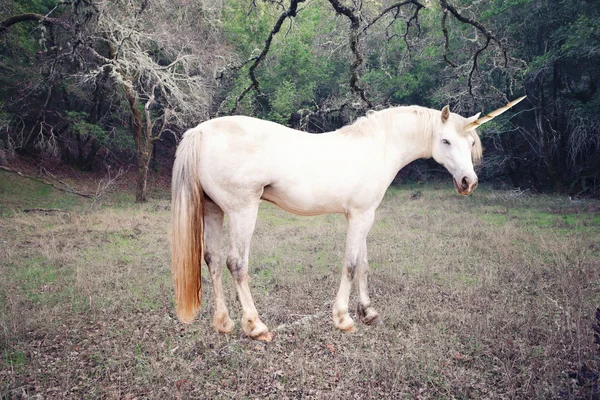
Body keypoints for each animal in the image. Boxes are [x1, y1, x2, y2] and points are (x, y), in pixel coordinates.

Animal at [172, 97, 524, 340]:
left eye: (470, 142)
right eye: (446, 140)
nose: (468, 182)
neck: (378, 146)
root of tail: (200, 131)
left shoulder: (364, 216)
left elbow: (364, 264)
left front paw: (368, 312)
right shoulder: (359, 216)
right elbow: (351, 264)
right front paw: (343, 318)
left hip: (214, 210)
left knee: (213, 260)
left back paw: (223, 323)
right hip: (243, 211)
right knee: (236, 264)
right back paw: (256, 326)